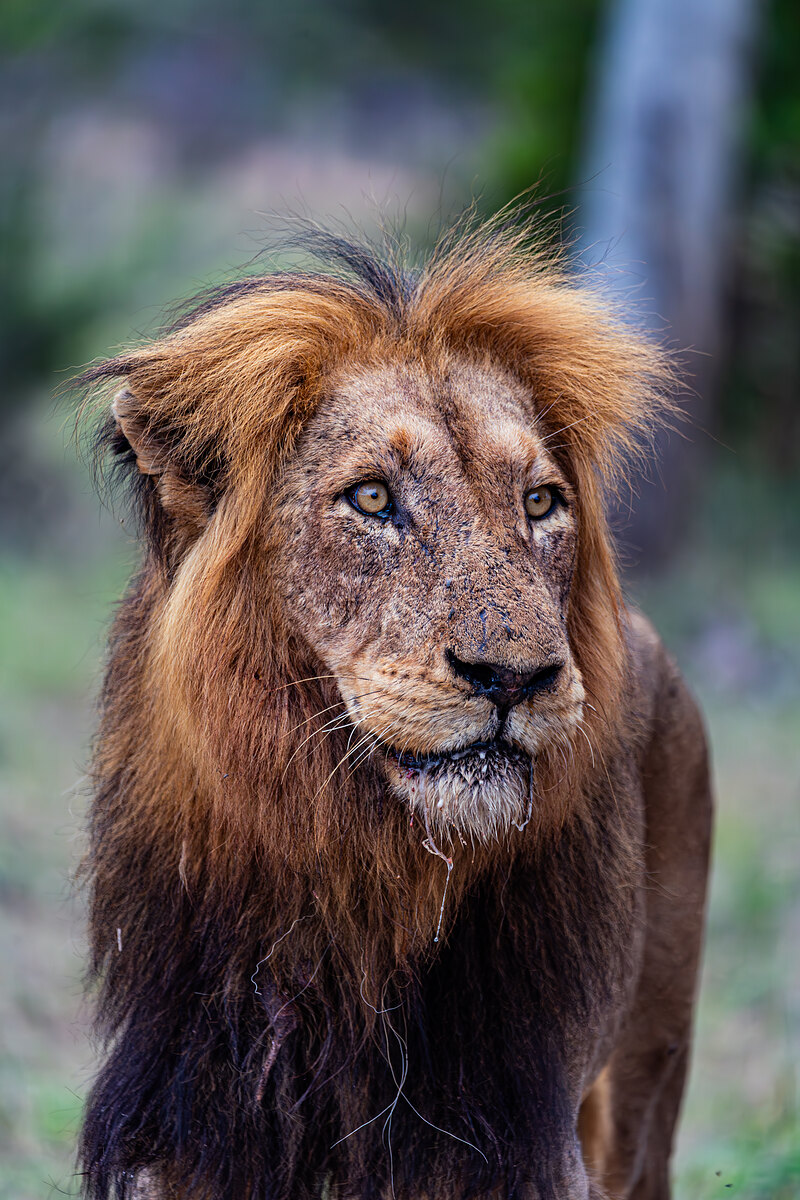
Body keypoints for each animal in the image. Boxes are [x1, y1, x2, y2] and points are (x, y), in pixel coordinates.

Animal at [78, 219, 712, 1200]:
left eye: (540, 502)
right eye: (372, 498)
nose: (514, 677)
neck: (350, 863)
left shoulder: (508, 1139)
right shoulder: (198, 1112)